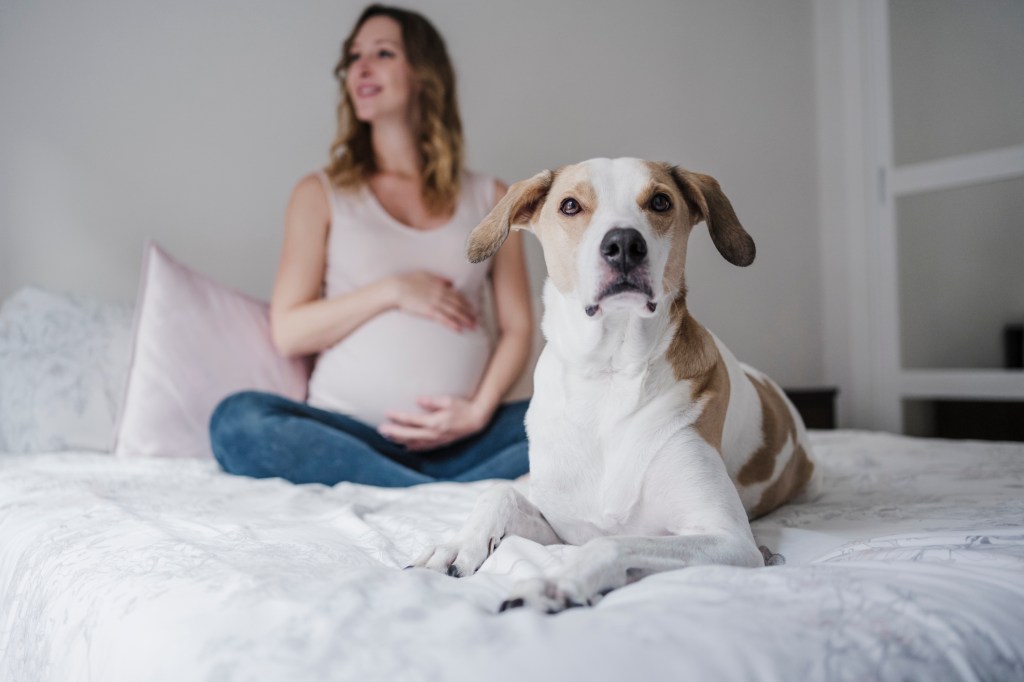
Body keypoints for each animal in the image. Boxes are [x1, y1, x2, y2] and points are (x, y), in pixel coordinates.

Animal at [411, 157, 819, 610]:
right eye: (570, 205)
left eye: (660, 201)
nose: (623, 244)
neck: (607, 375)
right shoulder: (563, 526)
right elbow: (498, 494)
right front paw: (455, 545)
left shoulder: (728, 538)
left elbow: (612, 543)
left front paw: (554, 583)